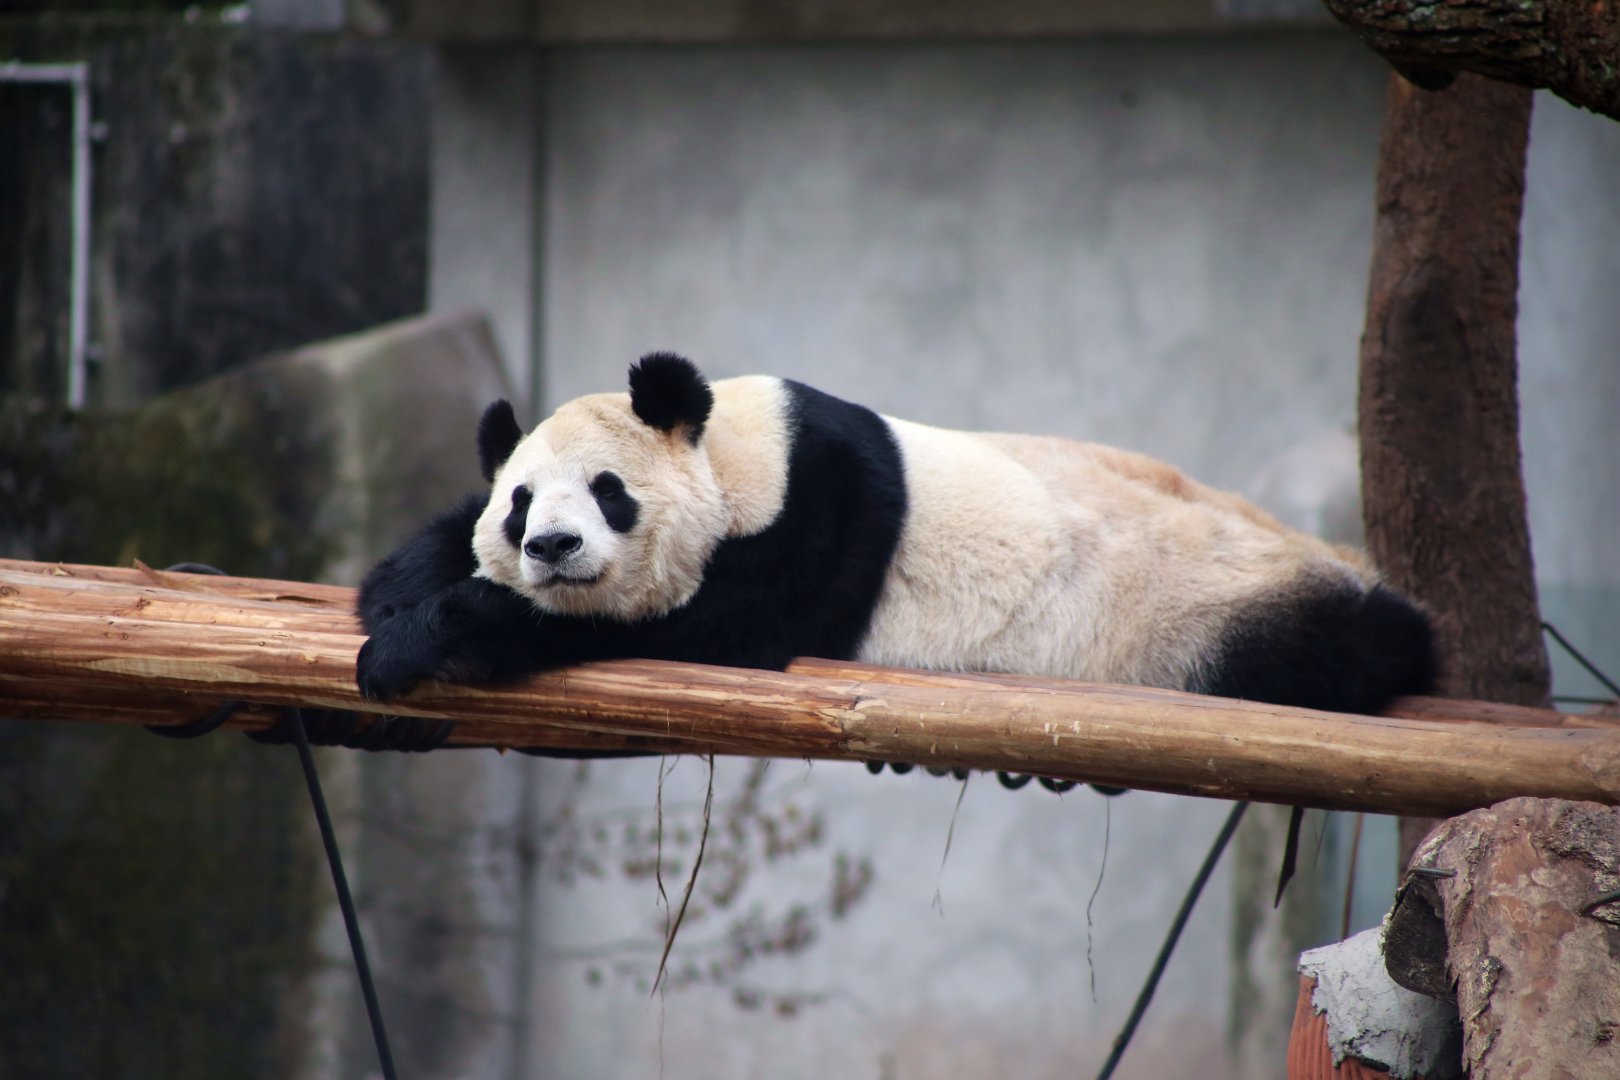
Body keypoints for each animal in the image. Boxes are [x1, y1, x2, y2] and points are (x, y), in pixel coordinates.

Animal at [355, 353, 1435, 760]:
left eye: (609, 494)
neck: (742, 452)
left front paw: (415, 640)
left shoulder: (817, 525)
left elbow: (697, 628)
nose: (551, 546)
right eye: (521, 504)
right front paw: (396, 585)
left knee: (1333, 645)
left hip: (1201, 603)